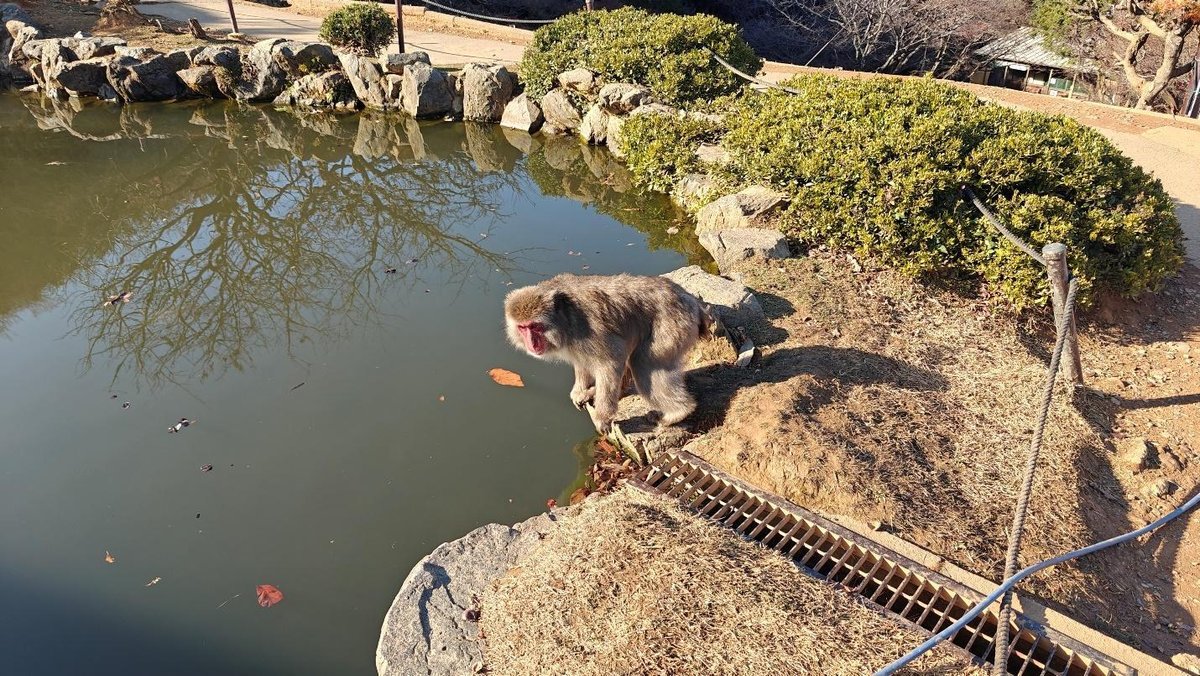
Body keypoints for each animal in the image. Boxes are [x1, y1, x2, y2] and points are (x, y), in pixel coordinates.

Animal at [504, 273, 711, 435]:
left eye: (535, 327)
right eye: (522, 328)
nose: (531, 344)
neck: (565, 317)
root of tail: (691, 299)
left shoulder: (587, 330)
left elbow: (611, 361)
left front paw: (602, 418)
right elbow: (582, 361)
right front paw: (580, 391)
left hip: (671, 326)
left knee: (644, 364)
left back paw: (677, 413)